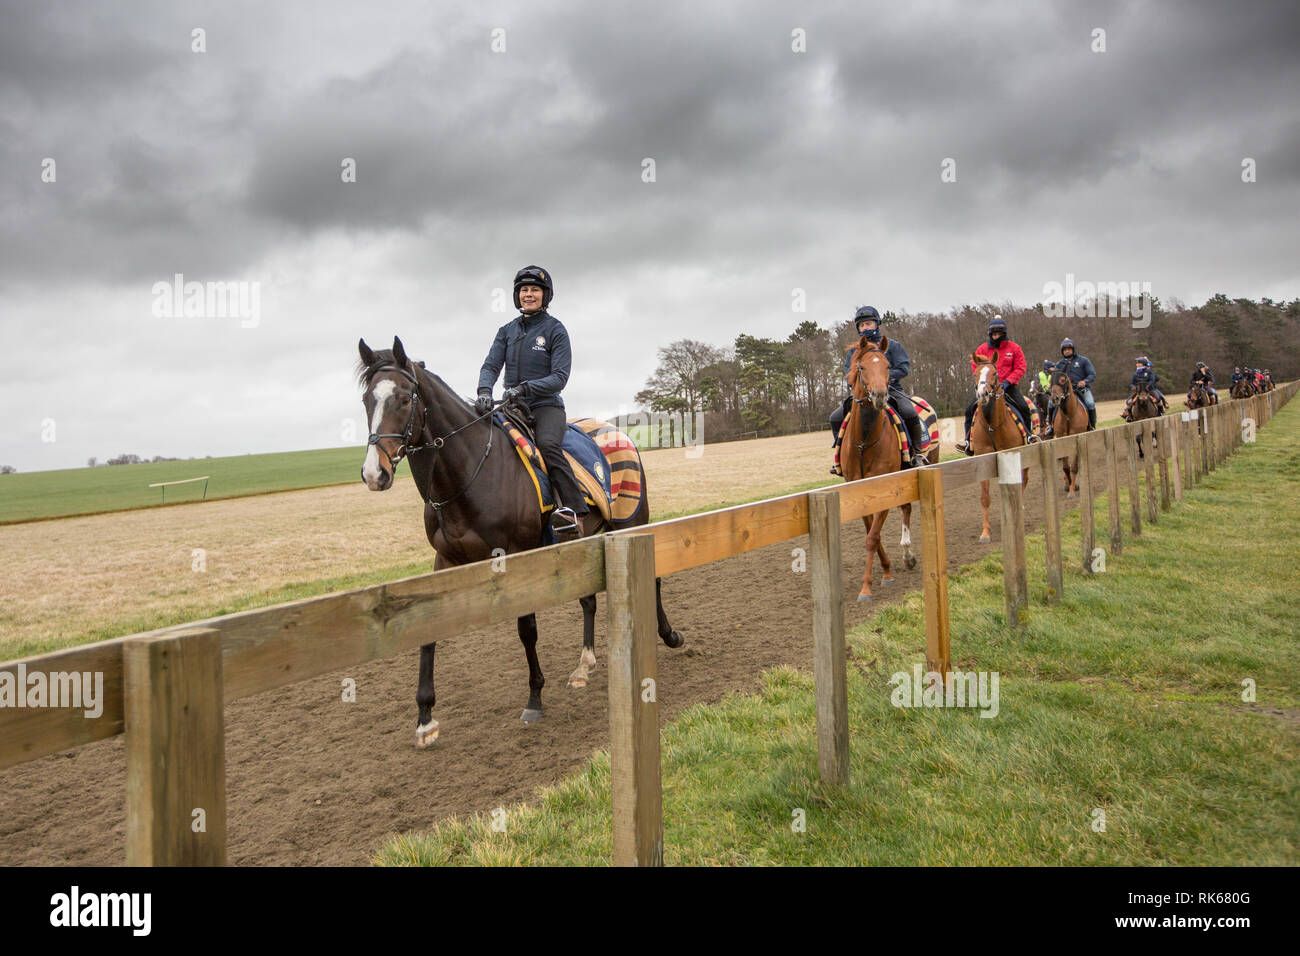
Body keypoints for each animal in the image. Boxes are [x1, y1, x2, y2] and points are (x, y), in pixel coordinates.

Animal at [357, 337, 683, 748]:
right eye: (367, 400)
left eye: (403, 398)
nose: (375, 473)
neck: (471, 473)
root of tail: (618, 431)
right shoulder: (443, 560)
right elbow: (428, 631)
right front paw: (425, 719)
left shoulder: (514, 554)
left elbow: (526, 629)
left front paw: (534, 699)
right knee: (588, 599)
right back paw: (584, 664)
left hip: (630, 522)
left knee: (652, 576)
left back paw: (670, 635)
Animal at [841, 337, 932, 602]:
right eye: (862, 367)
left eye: (888, 366)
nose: (880, 395)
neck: (864, 441)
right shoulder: (858, 491)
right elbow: (872, 532)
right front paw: (886, 568)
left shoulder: (885, 485)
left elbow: (872, 537)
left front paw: (868, 586)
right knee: (905, 508)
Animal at [969, 354, 1029, 543]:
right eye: (975, 373)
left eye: (994, 373)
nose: (982, 394)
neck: (992, 426)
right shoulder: (983, 460)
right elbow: (985, 498)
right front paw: (985, 533)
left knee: (1024, 481)